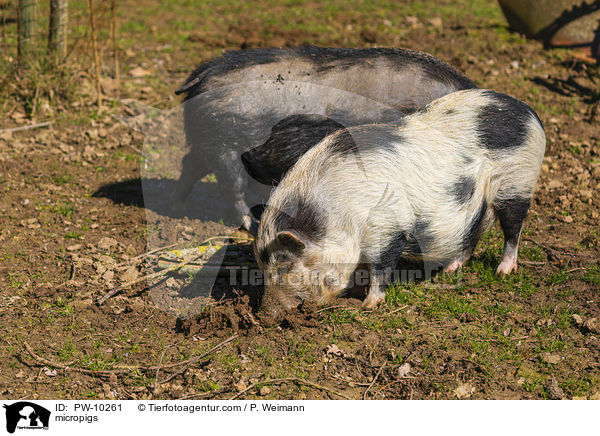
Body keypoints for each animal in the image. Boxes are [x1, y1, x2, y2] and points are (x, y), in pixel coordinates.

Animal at [173, 46, 478, 232]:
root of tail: (201, 75)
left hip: (208, 142)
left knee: (189, 163)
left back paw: (177, 205)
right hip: (225, 145)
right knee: (229, 186)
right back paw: (251, 224)